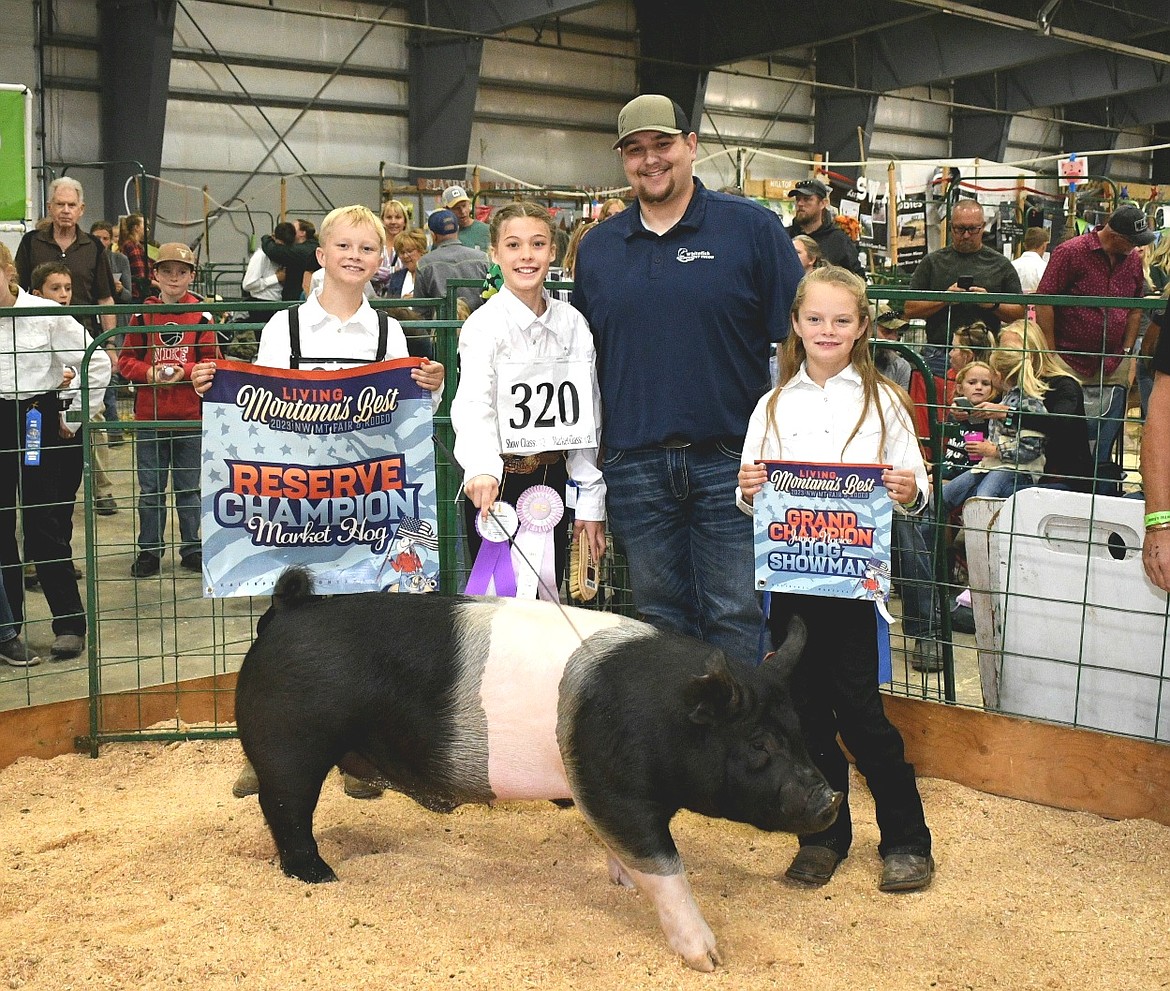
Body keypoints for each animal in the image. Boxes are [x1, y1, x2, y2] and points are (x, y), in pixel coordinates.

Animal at [232, 568, 837, 973]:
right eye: (758, 743)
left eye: (798, 732)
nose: (829, 799)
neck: (665, 721)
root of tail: (287, 609)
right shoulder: (613, 786)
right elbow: (665, 867)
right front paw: (709, 960)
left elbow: (628, 850)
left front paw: (620, 880)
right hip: (291, 742)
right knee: (285, 809)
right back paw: (321, 876)